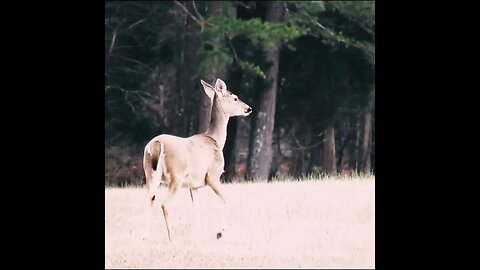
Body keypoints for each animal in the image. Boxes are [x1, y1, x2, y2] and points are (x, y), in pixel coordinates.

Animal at [142, 77, 253, 240]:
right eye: (235, 98)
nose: (249, 108)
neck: (215, 139)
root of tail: (156, 144)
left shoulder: (193, 186)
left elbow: (196, 209)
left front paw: (198, 234)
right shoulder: (213, 175)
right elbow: (226, 200)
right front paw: (220, 232)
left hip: (150, 173)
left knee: (149, 199)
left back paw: (145, 236)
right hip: (176, 174)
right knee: (164, 204)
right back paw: (171, 237)